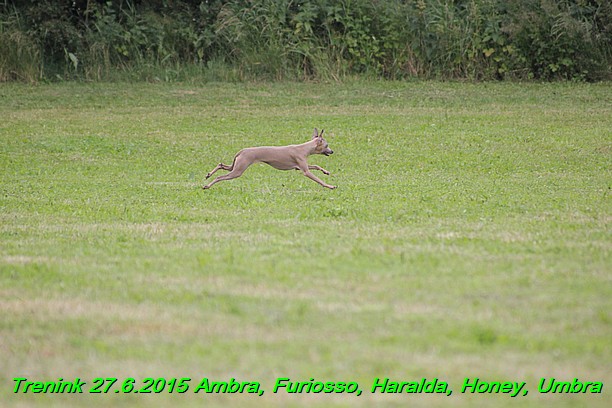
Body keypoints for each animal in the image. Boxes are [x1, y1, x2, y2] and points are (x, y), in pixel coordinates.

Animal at [202, 127, 334, 190]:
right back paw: (207, 186)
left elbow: (316, 166)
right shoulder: (305, 171)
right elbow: (318, 180)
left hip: (235, 166)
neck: (303, 148)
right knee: (220, 177)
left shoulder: (299, 167)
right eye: (327, 145)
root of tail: (243, 150)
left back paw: (208, 175)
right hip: (238, 170)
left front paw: (326, 172)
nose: (332, 151)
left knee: (221, 165)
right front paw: (330, 186)